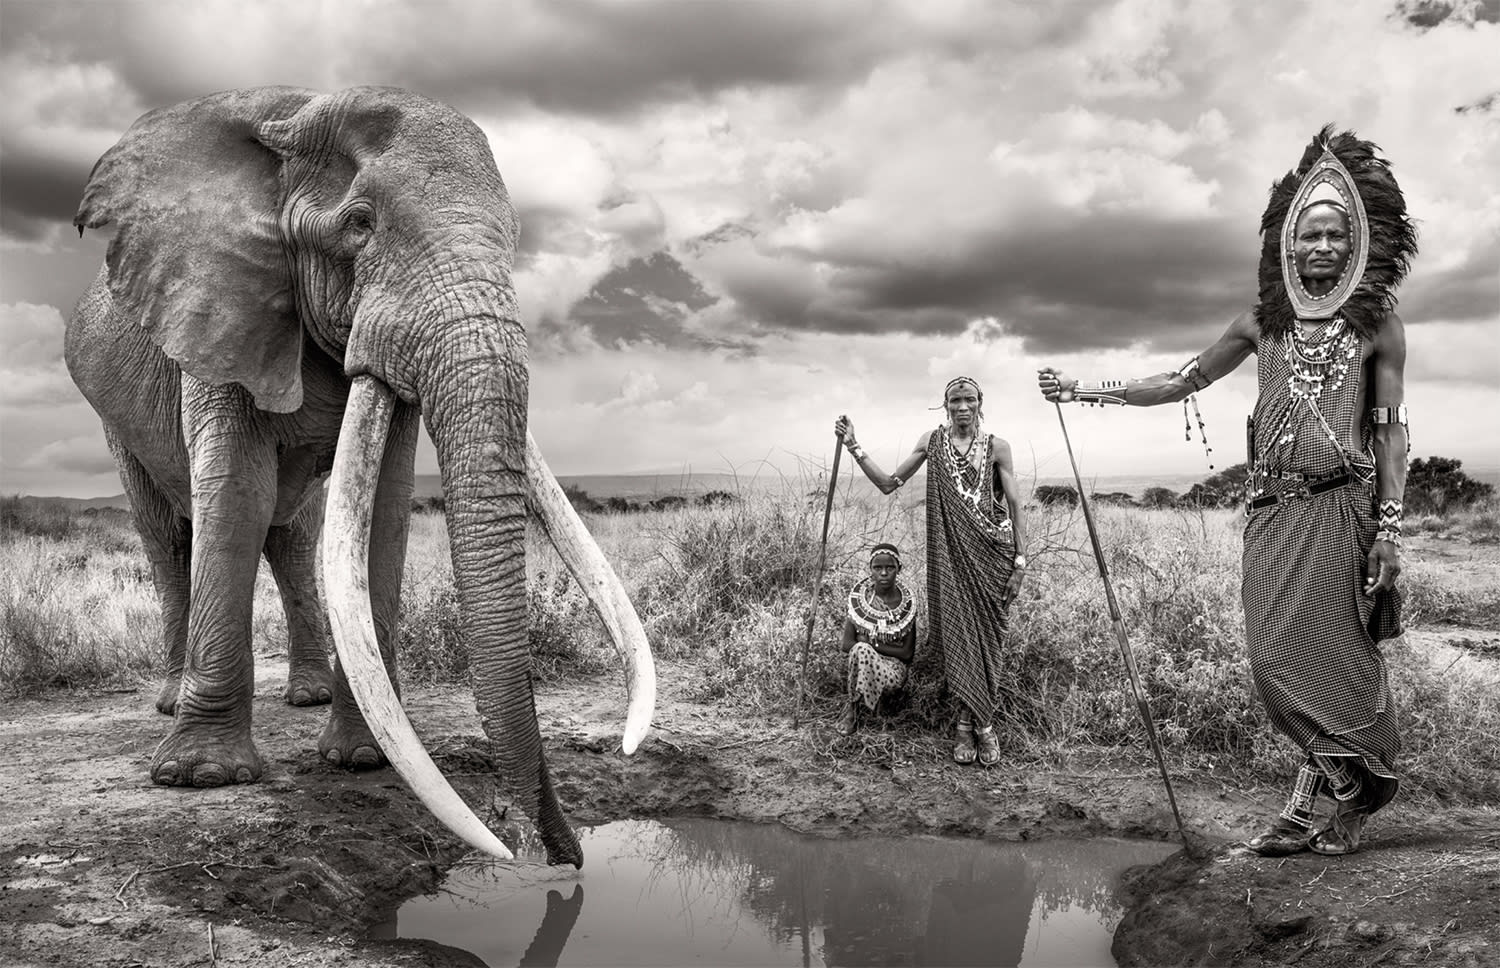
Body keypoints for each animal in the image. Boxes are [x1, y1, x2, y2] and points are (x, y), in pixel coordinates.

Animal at [65, 86, 655, 868]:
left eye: (513, 235)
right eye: (359, 224)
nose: (563, 856)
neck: (292, 119)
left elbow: (383, 506)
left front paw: (360, 760)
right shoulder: (215, 306)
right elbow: (236, 495)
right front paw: (200, 778)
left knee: (294, 535)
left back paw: (307, 696)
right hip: (112, 418)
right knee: (168, 536)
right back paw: (170, 699)